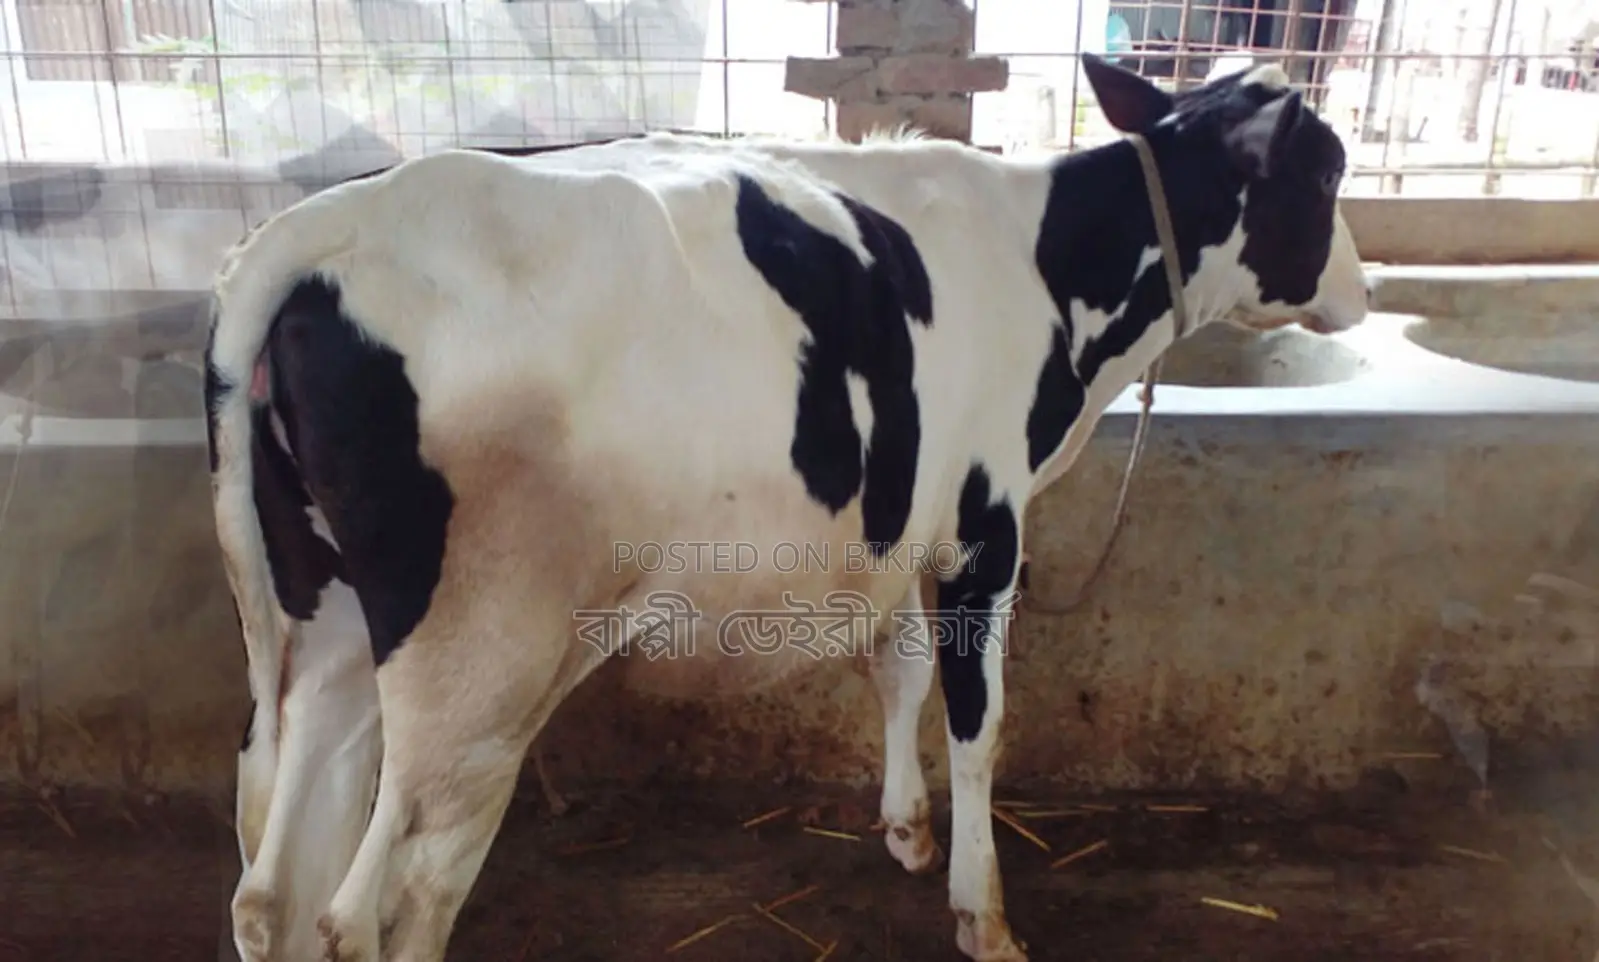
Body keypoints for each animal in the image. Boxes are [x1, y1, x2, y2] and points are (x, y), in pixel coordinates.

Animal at [204, 54, 1370, 962]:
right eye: (1326, 170)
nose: (1361, 294)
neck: (1049, 267)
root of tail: (335, 216)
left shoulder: (904, 521)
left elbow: (898, 669)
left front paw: (905, 830)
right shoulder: (984, 525)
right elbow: (977, 719)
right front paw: (983, 914)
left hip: (326, 619)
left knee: (273, 888)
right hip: (477, 666)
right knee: (372, 906)